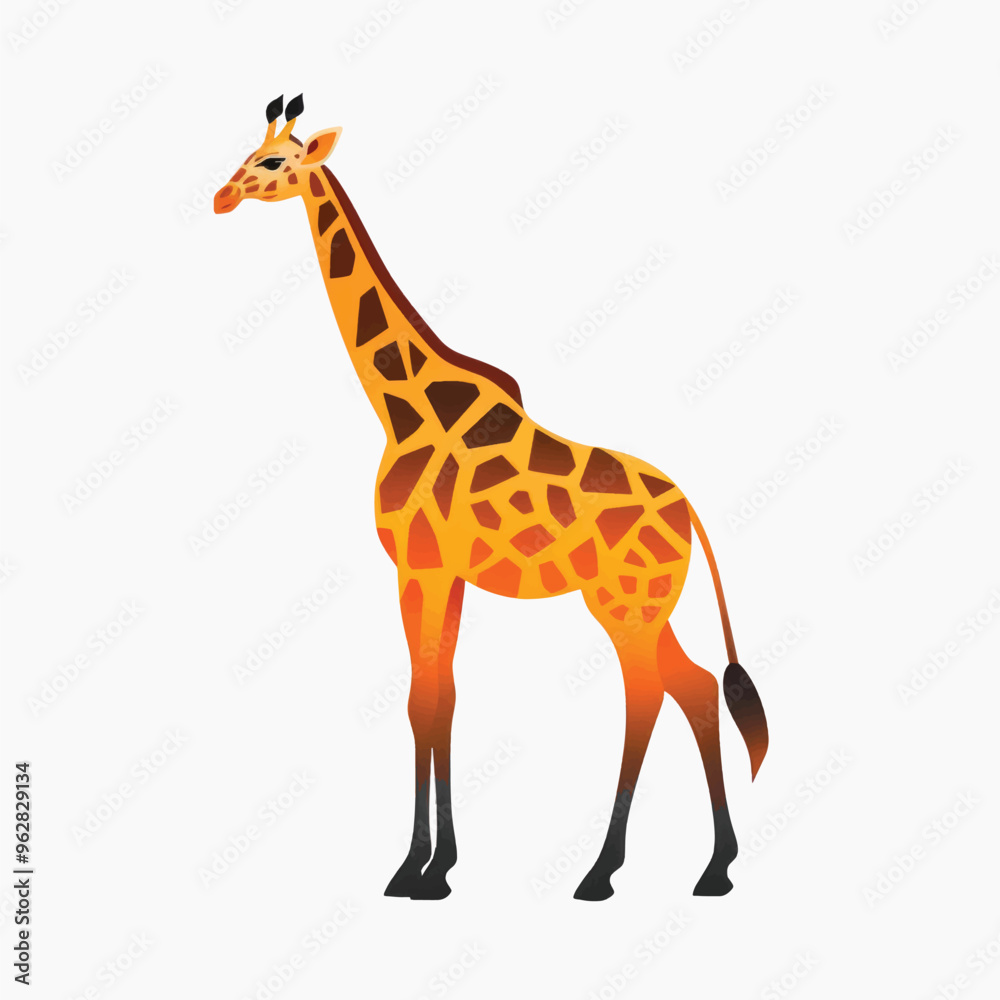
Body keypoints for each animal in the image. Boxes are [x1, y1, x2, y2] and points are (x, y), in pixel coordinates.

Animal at [214, 95, 769, 901]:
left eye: (276, 161)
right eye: (247, 154)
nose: (221, 197)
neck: (400, 407)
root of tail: (689, 509)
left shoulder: (419, 567)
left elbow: (423, 698)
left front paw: (415, 870)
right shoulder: (442, 575)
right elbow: (440, 695)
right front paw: (437, 864)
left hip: (625, 603)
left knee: (646, 694)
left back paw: (601, 872)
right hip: (645, 603)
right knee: (692, 688)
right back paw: (715, 868)